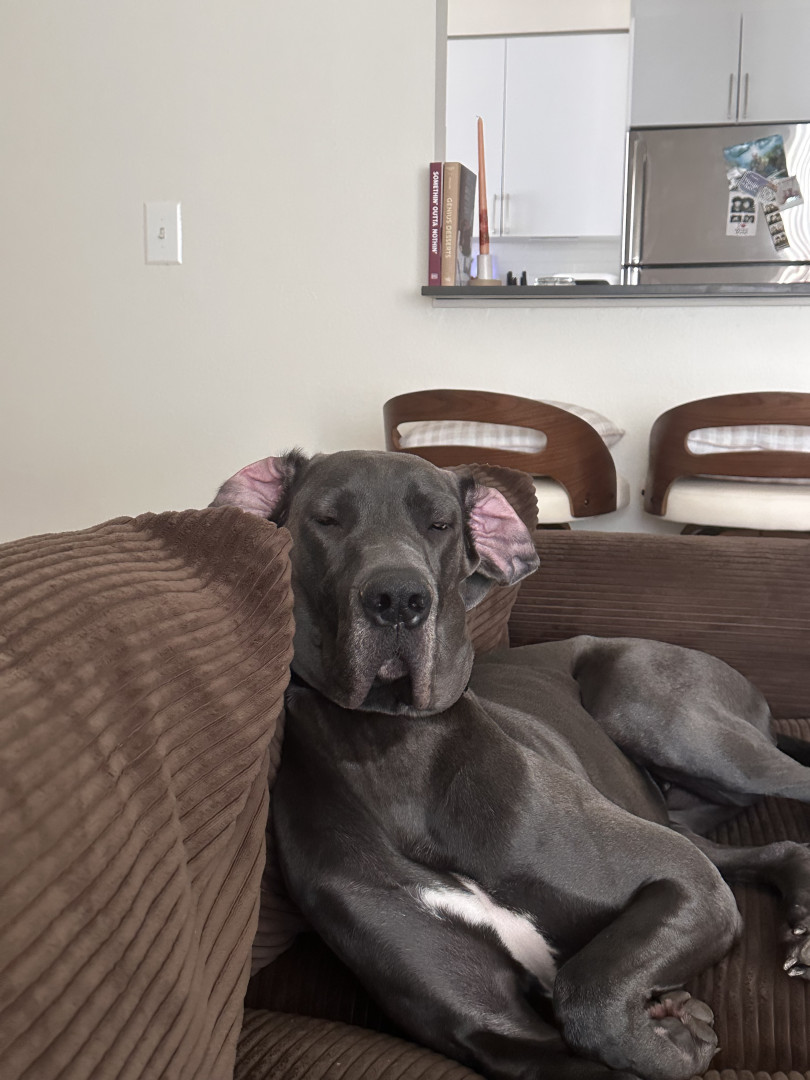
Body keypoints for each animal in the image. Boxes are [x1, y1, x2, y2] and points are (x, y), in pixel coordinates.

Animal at [212, 449, 810, 1080]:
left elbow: (586, 990)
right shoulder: (498, 1035)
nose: (399, 599)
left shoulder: (686, 881)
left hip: (650, 706)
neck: (388, 749)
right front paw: (678, 1029)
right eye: (326, 519)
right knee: (774, 848)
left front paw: (676, 1032)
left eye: (440, 524)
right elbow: (574, 1028)